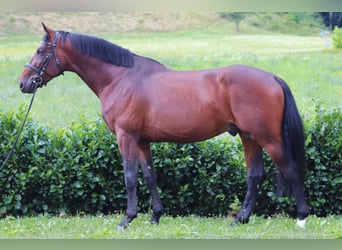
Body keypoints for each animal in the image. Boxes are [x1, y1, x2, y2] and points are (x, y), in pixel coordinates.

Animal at [18, 23, 310, 229]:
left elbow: (130, 176)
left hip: (268, 138)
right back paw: (240, 219)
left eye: (41, 51)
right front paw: (155, 217)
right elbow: (150, 176)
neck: (121, 78)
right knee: (255, 176)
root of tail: (272, 77)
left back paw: (301, 217)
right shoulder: (142, 140)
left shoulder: (126, 137)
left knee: (292, 170)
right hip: (249, 137)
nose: (24, 83)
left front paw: (127, 219)